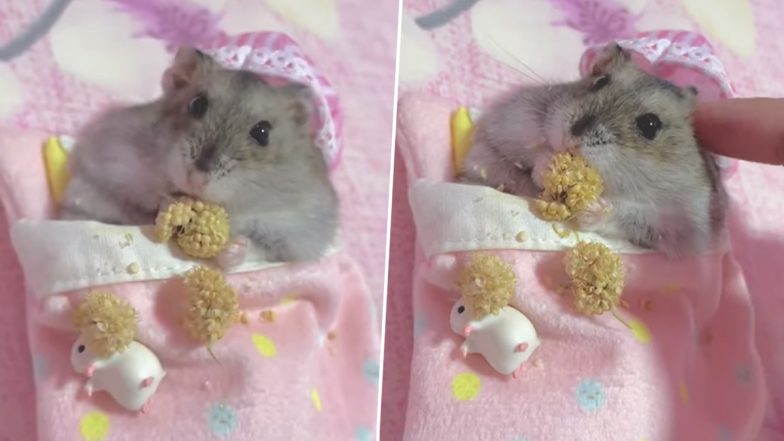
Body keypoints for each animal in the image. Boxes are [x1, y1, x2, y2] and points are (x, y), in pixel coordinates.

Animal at [62, 48, 340, 262]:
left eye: (262, 132)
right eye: (197, 104)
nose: (196, 178)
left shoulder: (295, 233)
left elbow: (260, 249)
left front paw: (233, 249)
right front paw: (169, 203)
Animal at [462, 43, 724, 256]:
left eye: (650, 125)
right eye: (600, 81)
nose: (573, 136)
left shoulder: (681, 224)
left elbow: (630, 217)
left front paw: (591, 208)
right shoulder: (516, 120)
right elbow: (531, 152)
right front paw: (549, 164)